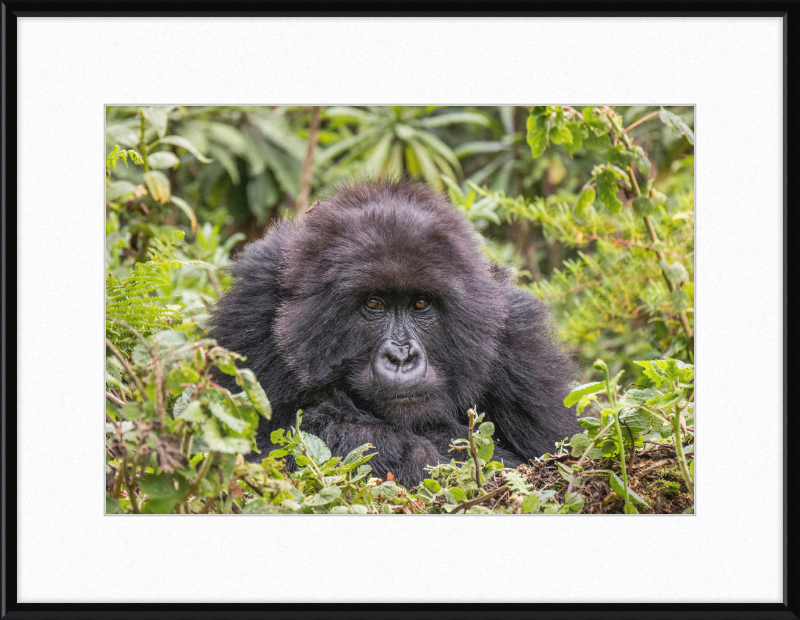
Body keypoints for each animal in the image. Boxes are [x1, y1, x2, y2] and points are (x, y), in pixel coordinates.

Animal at [209, 177, 580, 486]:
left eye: (420, 304)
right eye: (374, 304)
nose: (401, 356)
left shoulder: (519, 341)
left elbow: (555, 456)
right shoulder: (250, 313)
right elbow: (252, 459)